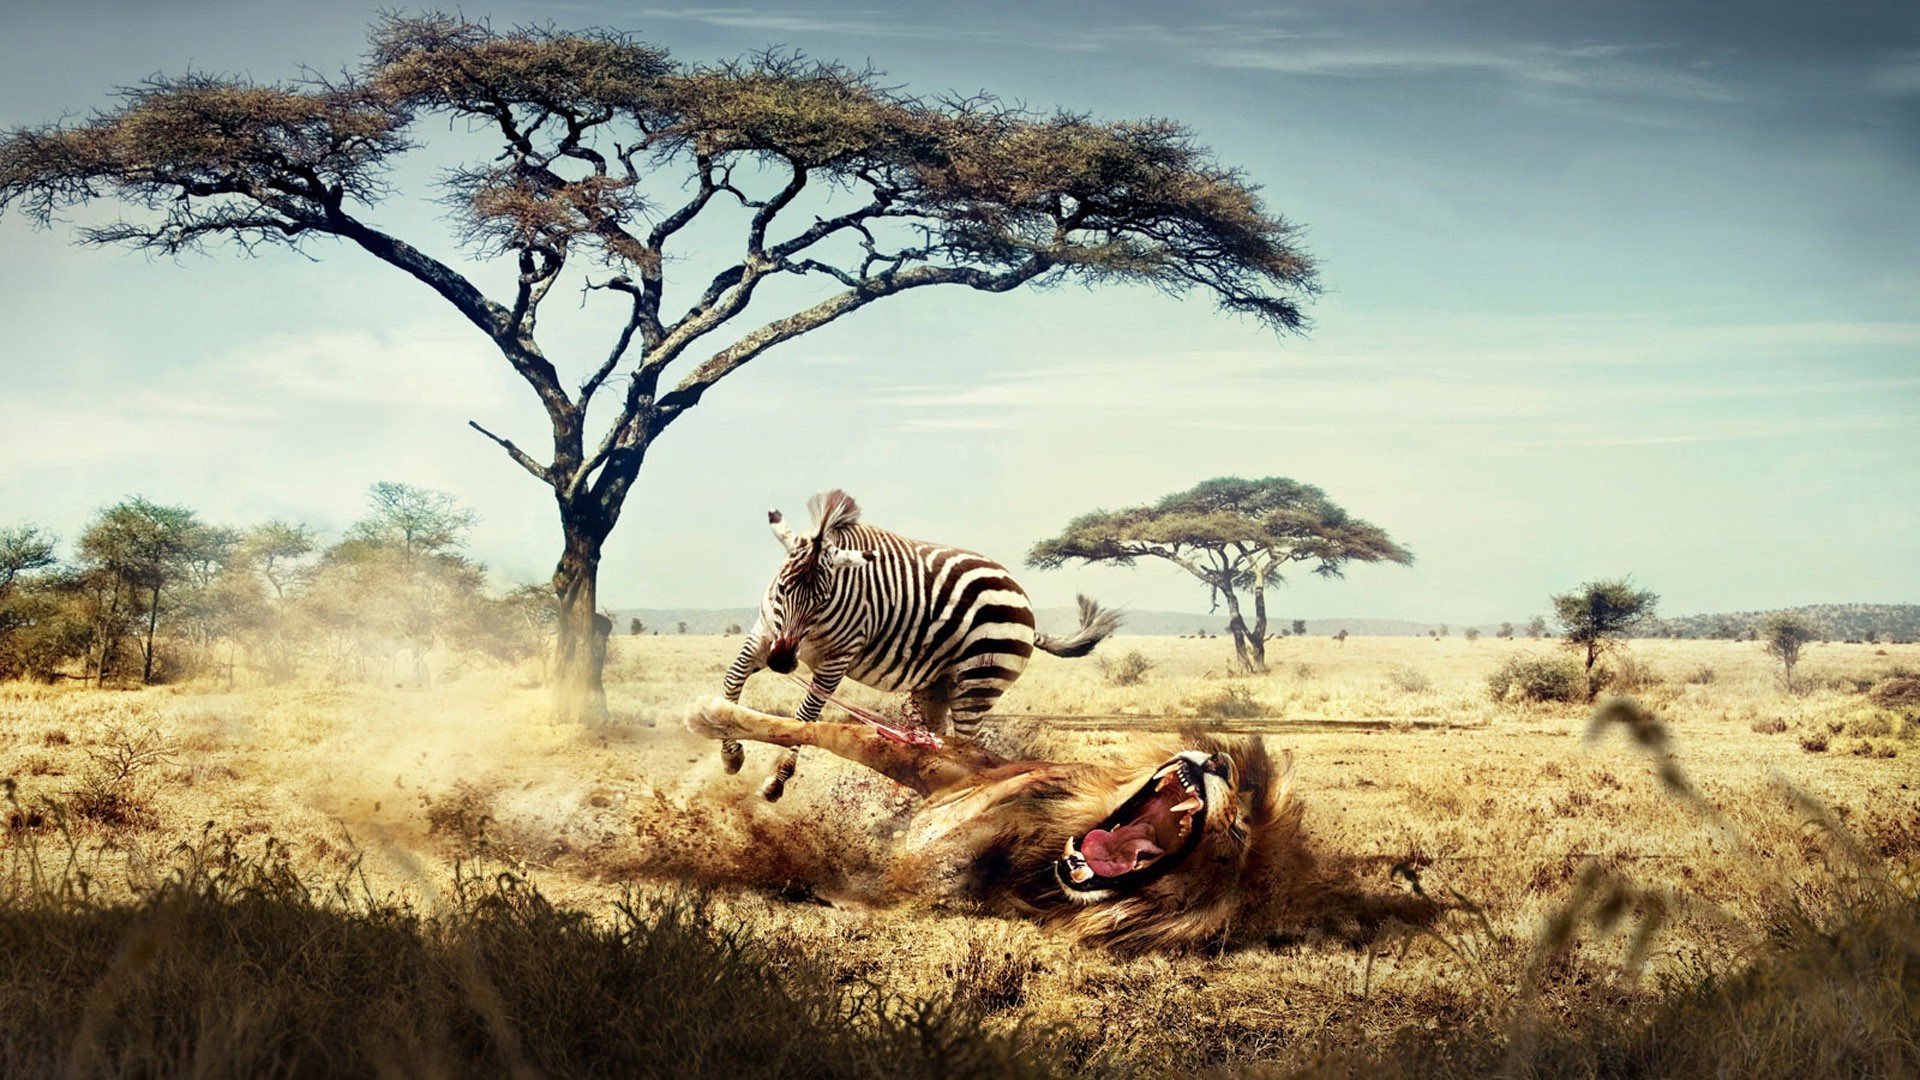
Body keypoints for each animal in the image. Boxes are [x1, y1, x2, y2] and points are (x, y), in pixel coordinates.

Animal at [686, 696, 1310, 952]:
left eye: (1236, 836)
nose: (1220, 762)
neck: (1040, 855)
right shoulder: (948, 764)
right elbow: (824, 730)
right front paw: (714, 717)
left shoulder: (938, 890)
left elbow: (889, 892)